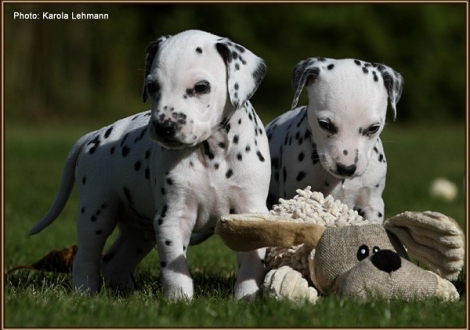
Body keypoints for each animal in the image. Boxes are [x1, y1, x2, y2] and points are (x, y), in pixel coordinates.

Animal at [29, 29, 270, 300]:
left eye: (201, 87)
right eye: (152, 86)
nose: (164, 126)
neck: (211, 154)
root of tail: (94, 135)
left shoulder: (251, 213)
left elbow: (252, 260)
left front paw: (247, 298)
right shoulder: (171, 218)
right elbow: (175, 269)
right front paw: (179, 300)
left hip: (138, 232)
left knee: (114, 260)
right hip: (96, 214)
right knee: (86, 259)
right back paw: (86, 293)